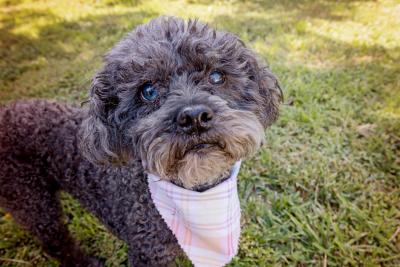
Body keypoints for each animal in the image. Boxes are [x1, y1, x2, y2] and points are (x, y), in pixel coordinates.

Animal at [0, 15, 282, 266]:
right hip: (30, 200)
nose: (194, 118)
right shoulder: (147, 253)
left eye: (216, 76)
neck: (195, 194)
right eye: (148, 91)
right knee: (55, 240)